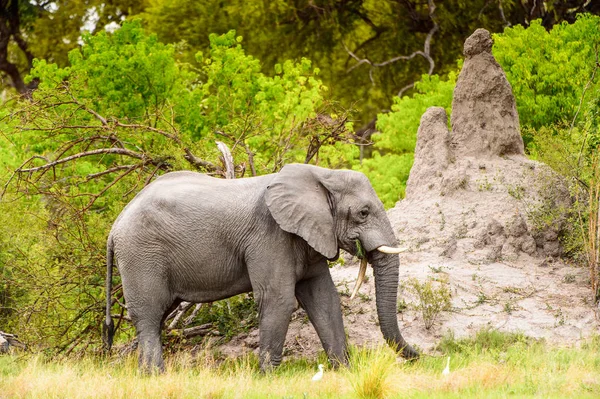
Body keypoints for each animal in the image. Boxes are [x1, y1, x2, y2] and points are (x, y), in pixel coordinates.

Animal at [103, 163, 418, 376]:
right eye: (363, 213)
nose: (420, 357)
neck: (322, 175)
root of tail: (115, 226)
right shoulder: (270, 235)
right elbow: (279, 299)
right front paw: (269, 378)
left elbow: (324, 299)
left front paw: (344, 371)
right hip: (141, 255)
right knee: (149, 315)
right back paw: (155, 376)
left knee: (157, 317)